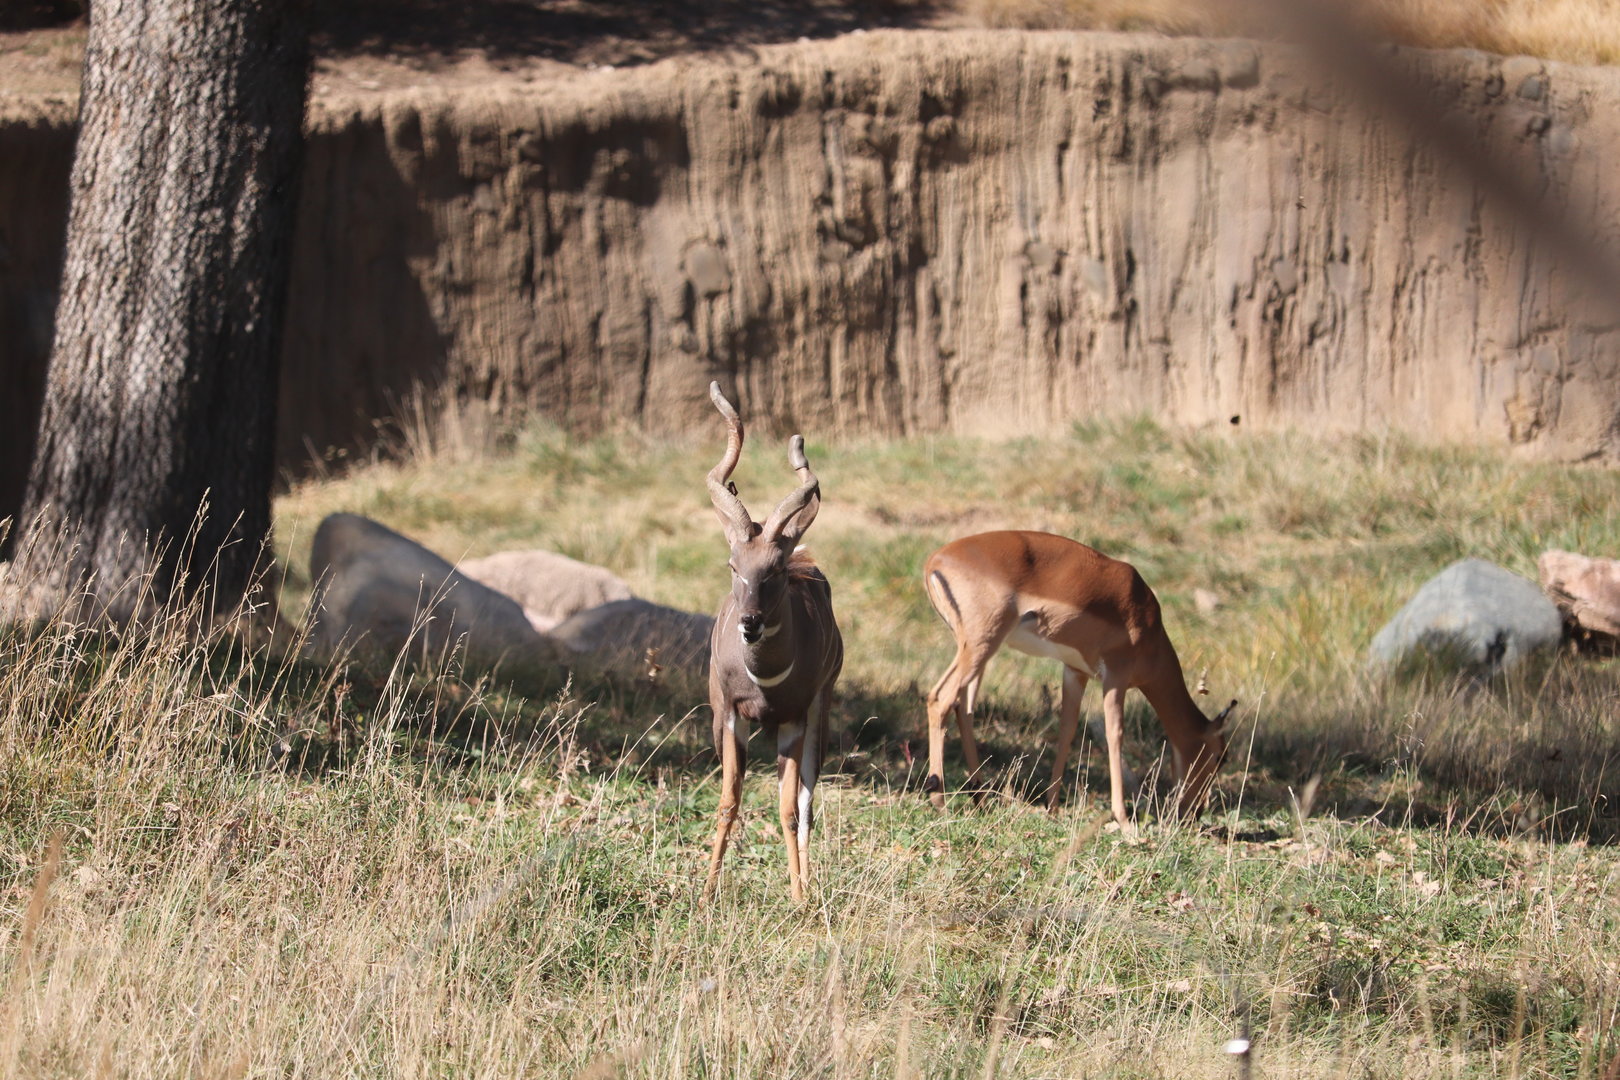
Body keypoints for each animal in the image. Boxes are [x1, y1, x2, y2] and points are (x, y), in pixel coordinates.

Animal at [703, 382, 844, 903]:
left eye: (775, 569)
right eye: (733, 564)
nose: (750, 623)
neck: (763, 679)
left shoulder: (794, 718)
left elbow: (788, 806)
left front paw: (799, 898)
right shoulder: (729, 714)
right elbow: (728, 801)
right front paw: (705, 894)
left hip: (822, 709)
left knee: (805, 798)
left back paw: (808, 885)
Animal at [922, 530, 1235, 826]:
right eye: (1221, 756)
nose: (1195, 812)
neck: (1148, 626)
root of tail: (934, 561)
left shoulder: (1076, 671)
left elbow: (1067, 729)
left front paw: (1052, 809)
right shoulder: (1115, 678)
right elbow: (1114, 735)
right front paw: (1124, 822)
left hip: (978, 651)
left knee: (964, 707)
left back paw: (980, 800)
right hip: (982, 644)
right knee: (940, 698)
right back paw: (939, 799)